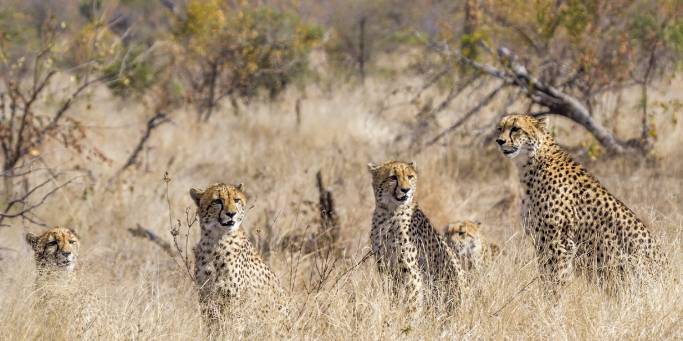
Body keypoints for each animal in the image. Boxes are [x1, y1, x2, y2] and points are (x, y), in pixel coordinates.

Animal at [190, 183, 284, 324]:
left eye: (236, 200)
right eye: (217, 201)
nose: (231, 214)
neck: (216, 241)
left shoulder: (233, 299)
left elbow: (233, 325)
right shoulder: (205, 297)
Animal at [368, 160, 464, 308]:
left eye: (410, 176)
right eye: (393, 177)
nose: (406, 190)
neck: (389, 212)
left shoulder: (411, 271)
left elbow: (412, 300)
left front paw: (407, 314)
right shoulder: (385, 267)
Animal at [496, 113, 668, 290]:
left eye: (516, 128)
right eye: (500, 128)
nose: (499, 141)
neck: (532, 164)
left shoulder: (560, 244)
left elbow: (556, 281)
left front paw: (553, 297)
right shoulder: (541, 241)